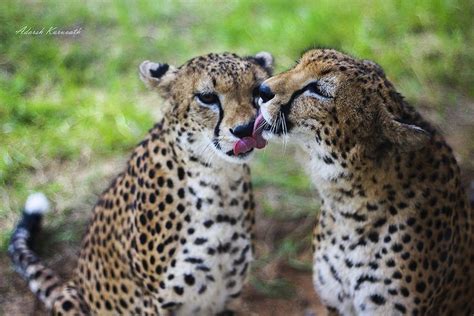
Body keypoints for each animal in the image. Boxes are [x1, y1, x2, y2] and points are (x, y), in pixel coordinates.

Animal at [6, 50, 274, 314]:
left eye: (257, 91)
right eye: (207, 97)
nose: (245, 129)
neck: (218, 180)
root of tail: (71, 283)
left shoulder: (225, 299)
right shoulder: (154, 302)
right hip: (70, 300)